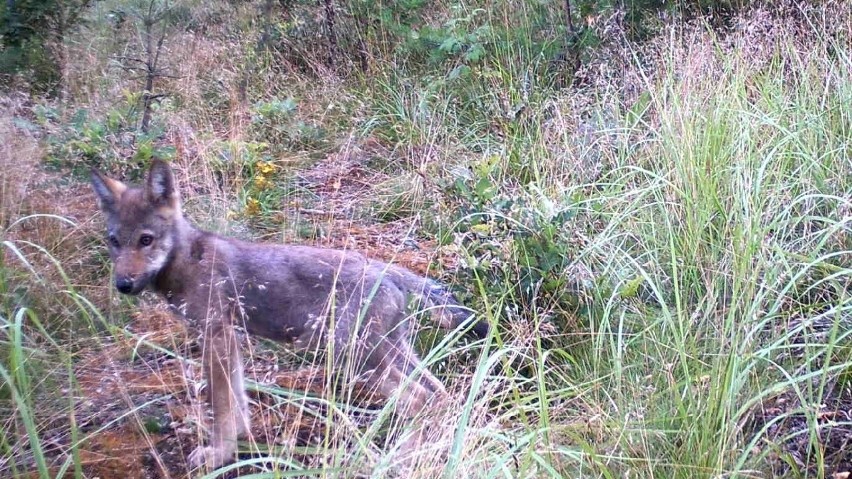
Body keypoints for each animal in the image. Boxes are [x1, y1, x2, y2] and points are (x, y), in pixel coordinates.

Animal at [90, 160, 486, 468]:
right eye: (114, 242)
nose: (123, 284)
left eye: (146, 240)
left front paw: (219, 455)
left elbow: (220, 405)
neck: (188, 261)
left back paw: (401, 457)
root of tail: (385, 268)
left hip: (357, 360)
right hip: (386, 356)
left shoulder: (216, 335)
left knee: (424, 400)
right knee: (440, 397)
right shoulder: (228, 338)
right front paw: (237, 441)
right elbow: (236, 401)